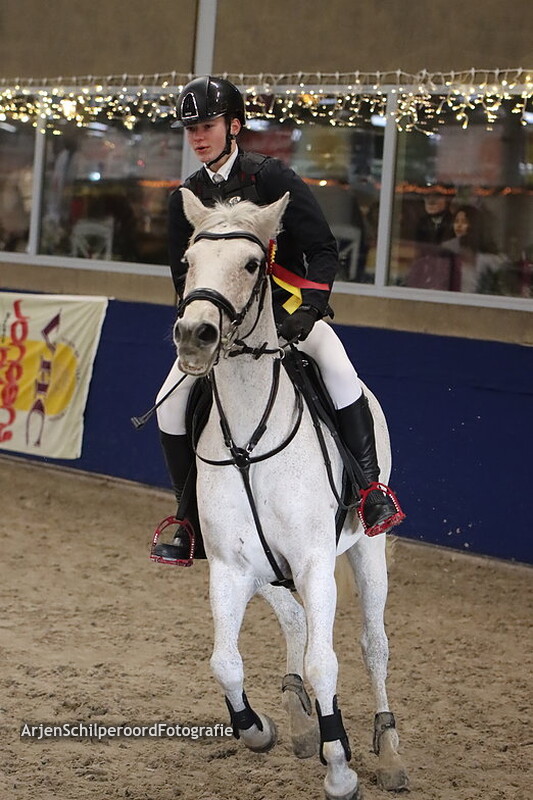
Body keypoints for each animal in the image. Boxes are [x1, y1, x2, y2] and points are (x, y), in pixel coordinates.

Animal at [173, 187, 408, 799]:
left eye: (253, 264)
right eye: (188, 261)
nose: (195, 336)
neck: (248, 441)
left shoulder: (313, 561)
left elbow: (327, 662)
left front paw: (341, 766)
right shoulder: (229, 566)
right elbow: (225, 662)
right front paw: (259, 729)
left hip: (368, 548)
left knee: (374, 644)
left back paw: (388, 752)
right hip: (265, 570)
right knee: (297, 623)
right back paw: (301, 720)